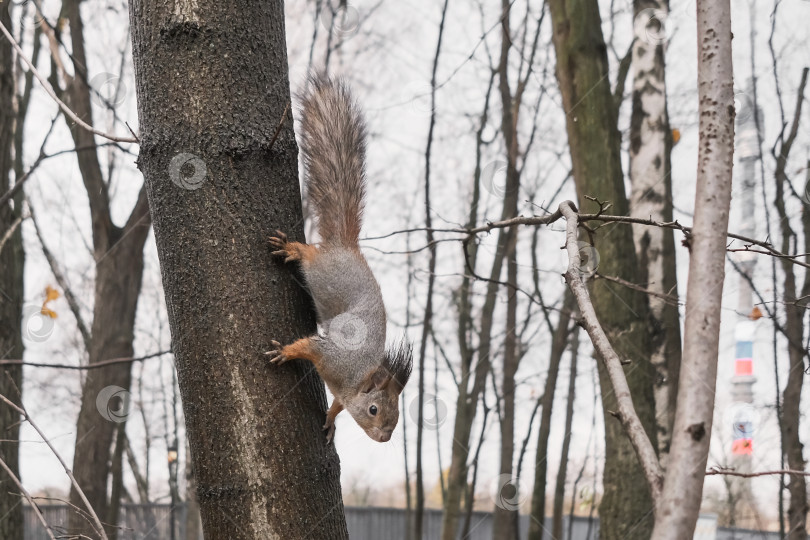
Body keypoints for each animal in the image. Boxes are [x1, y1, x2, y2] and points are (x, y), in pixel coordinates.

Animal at [266, 75, 414, 442]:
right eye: (374, 410)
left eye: (397, 416)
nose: (384, 437)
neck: (356, 381)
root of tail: (346, 247)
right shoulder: (333, 356)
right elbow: (308, 347)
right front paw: (285, 352)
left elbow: (337, 406)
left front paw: (331, 419)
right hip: (323, 273)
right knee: (310, 255)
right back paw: (293, 248)